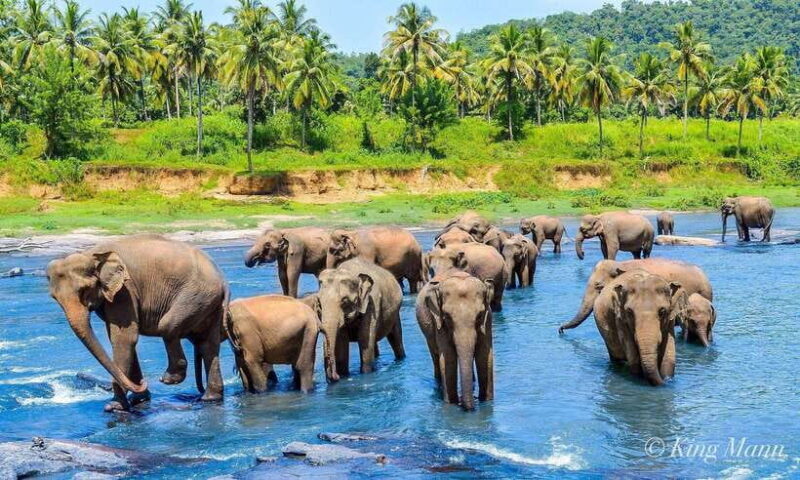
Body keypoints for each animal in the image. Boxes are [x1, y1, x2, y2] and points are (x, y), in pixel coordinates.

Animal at [46, 234, 228, 412]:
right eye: (54, 298)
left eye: (83, 290)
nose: (143, 384)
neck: (90, 254)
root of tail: (223, 280)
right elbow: (119, 339)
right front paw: (138, 399)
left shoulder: (125, 290)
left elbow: (124, 338)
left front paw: (114, 406)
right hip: (209, 304)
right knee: (207, 344)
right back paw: (210, 398)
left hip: (197, 296)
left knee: (168, 326)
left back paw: (169, 379)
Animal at [416, 271, 494, 410]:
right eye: (447, 316)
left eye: (479, 315)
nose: (463, 400)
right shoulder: (438, 322)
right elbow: (448, 358)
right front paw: (451, 403)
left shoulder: (488, 318)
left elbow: (485, 356)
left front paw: (486, 400)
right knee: (435, 356)